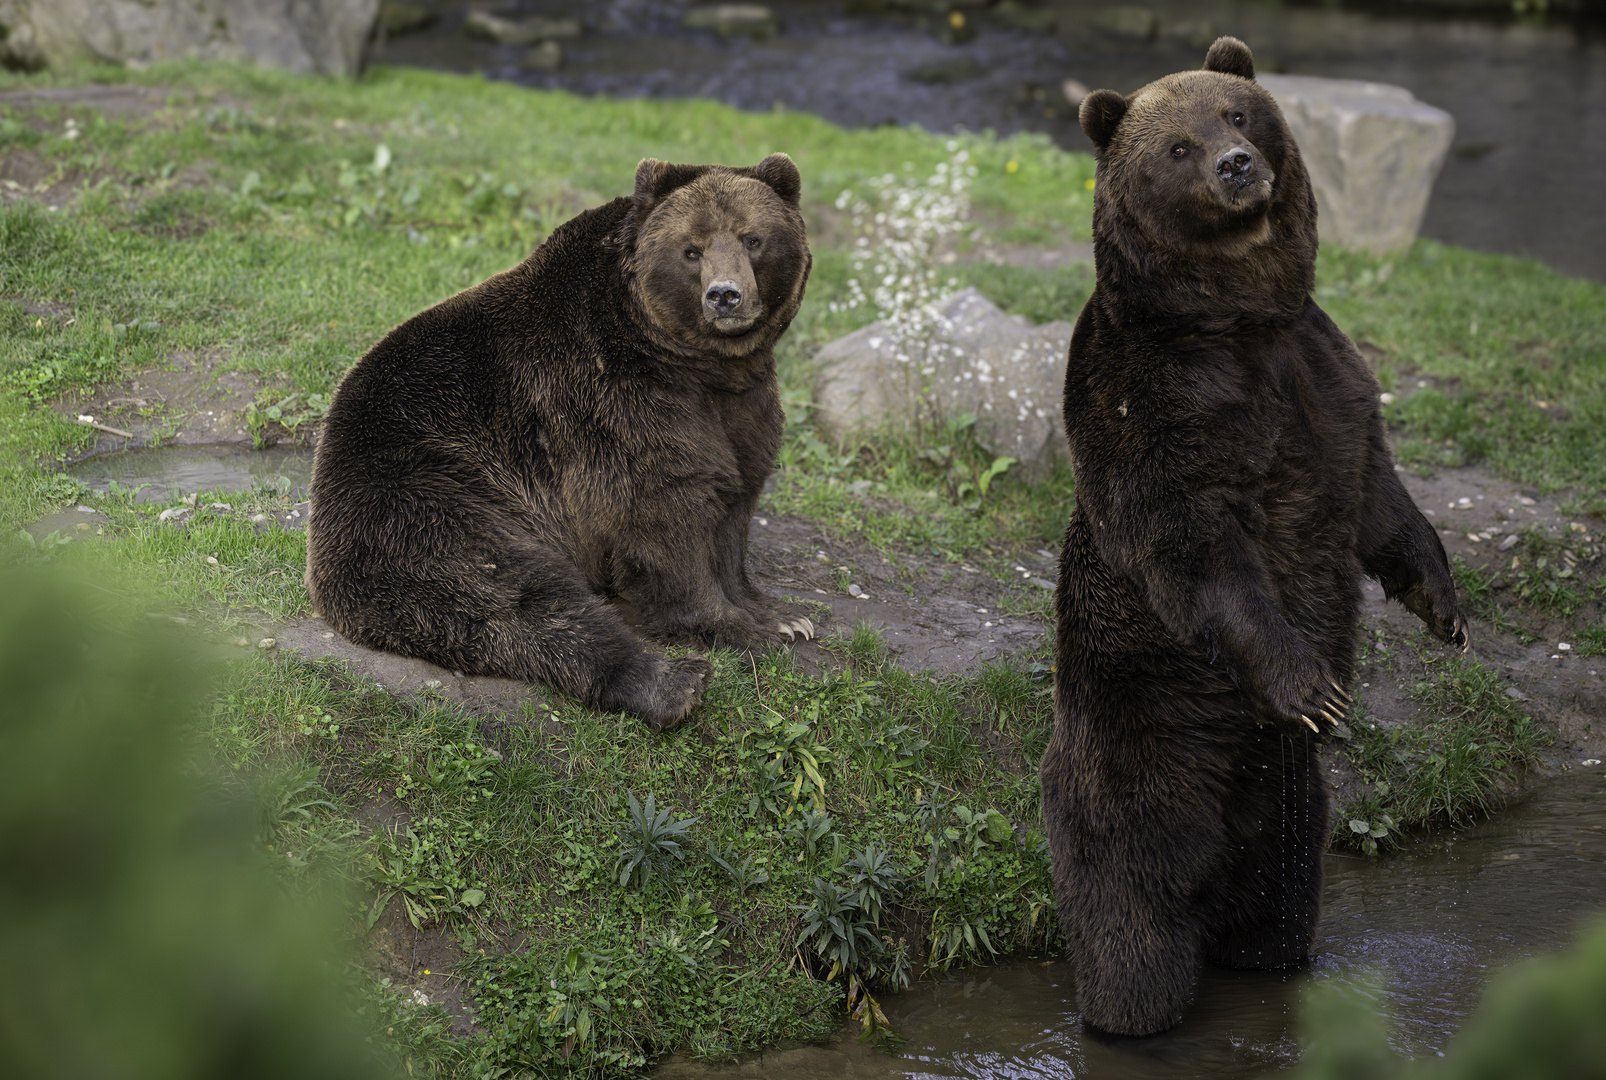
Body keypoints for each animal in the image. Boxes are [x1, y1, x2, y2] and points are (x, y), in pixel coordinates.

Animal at [305, 154, 815, 726]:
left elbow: (735, 502)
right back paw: (674, 682)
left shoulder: (740, 406)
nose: (725, 295)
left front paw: (782, 615)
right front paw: (739, 627)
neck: (696, 364)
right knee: (511, 596)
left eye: (753, 239)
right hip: (426, 497)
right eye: (691, 249)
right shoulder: (609, 400)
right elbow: (664, 512)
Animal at [1040, 35, 1471, 1035]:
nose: (1237, 165)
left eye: (1238, 113)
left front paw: (1443, 605)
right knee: (1130, 925)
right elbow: (1194, 545)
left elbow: (1376, 494)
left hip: (1289, 813)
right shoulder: (1153, 399)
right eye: (1177, 145)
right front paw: (1311, 685)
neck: (1235, 316)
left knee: (1278, 913)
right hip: (1136, 763)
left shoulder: (1325, 374)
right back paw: (1129, 1009)